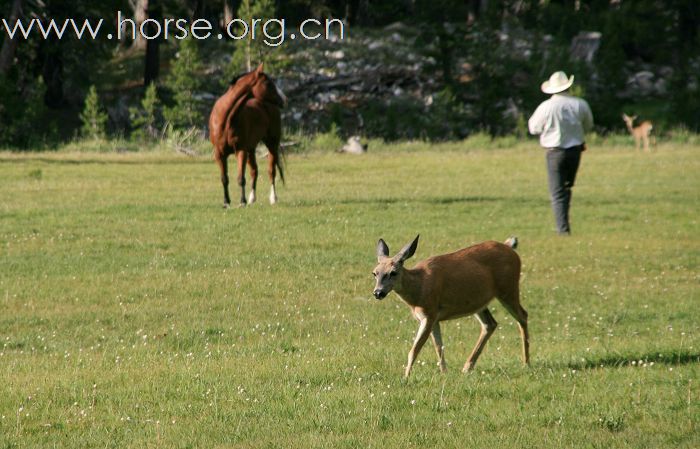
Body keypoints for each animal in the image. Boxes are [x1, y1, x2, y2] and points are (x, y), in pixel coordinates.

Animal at [208, 64, 288, 207]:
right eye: (268, 83)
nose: (284, 99)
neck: (226, 119)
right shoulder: (219, 154)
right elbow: (224, 178)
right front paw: (226, 202)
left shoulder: (241, 151)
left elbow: (241, 178)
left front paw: (242, 202)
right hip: (251, 149)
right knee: (254, 171)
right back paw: (252, 199)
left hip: (272, 144)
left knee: (271, 171)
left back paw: (273, 198)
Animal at [372, 234, 532, 378]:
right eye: (375, 273)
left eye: (393, 272)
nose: (378, 292)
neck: (419, 289)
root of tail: (510, 247)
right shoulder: (434, 318)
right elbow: (439, 347)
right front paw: (444, 373)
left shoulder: (429, 314)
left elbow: (414, 349)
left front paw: (405, 377)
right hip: (478, 302)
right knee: (490, 324)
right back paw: (467, 367)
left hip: (508, 288)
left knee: (523, 315)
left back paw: (526, 362)